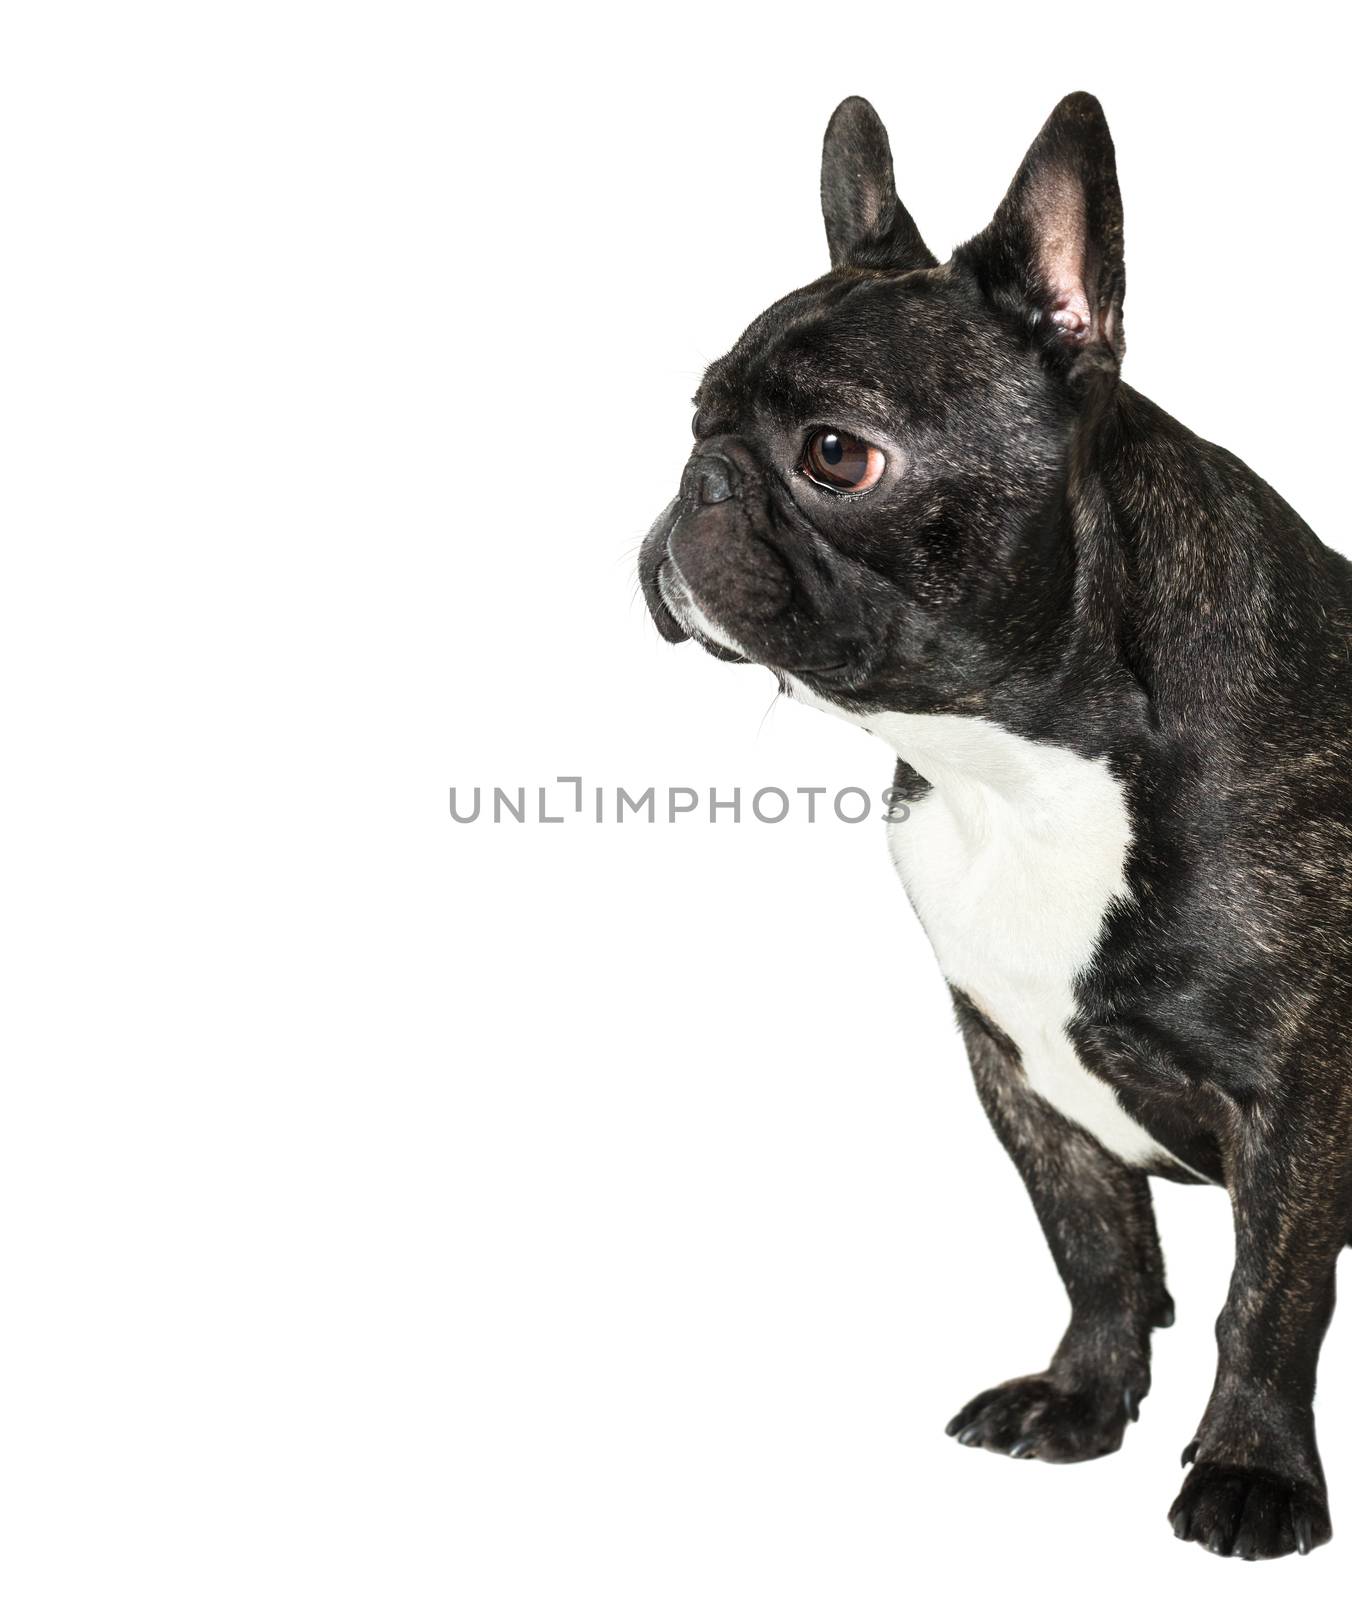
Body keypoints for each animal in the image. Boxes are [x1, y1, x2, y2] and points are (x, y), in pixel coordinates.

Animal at [636, 96, 1350, 1561]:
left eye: (834, 454)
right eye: (696, 416)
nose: (699, 480)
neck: (1023, 763)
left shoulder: (1297, 1094)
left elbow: (1269, 1295)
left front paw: (1250, 1469)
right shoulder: (1013, 1064)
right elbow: (1094, 1246)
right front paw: (1081, 1398)